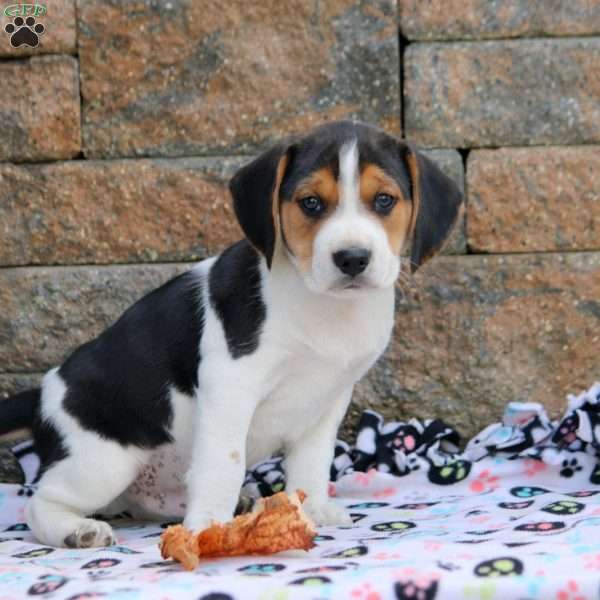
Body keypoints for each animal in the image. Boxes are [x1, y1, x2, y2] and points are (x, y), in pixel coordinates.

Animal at [0, 120, 460, 548]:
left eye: (384, 200)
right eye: (311, 203)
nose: (351, 258)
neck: (322, 304)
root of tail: (44, 392)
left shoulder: (327, 399)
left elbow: (312, 462)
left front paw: (312, 509)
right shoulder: (230, 387)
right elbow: (225, 461)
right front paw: (209, 526)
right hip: (101, 461)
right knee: (40, 502)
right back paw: (78, 531)